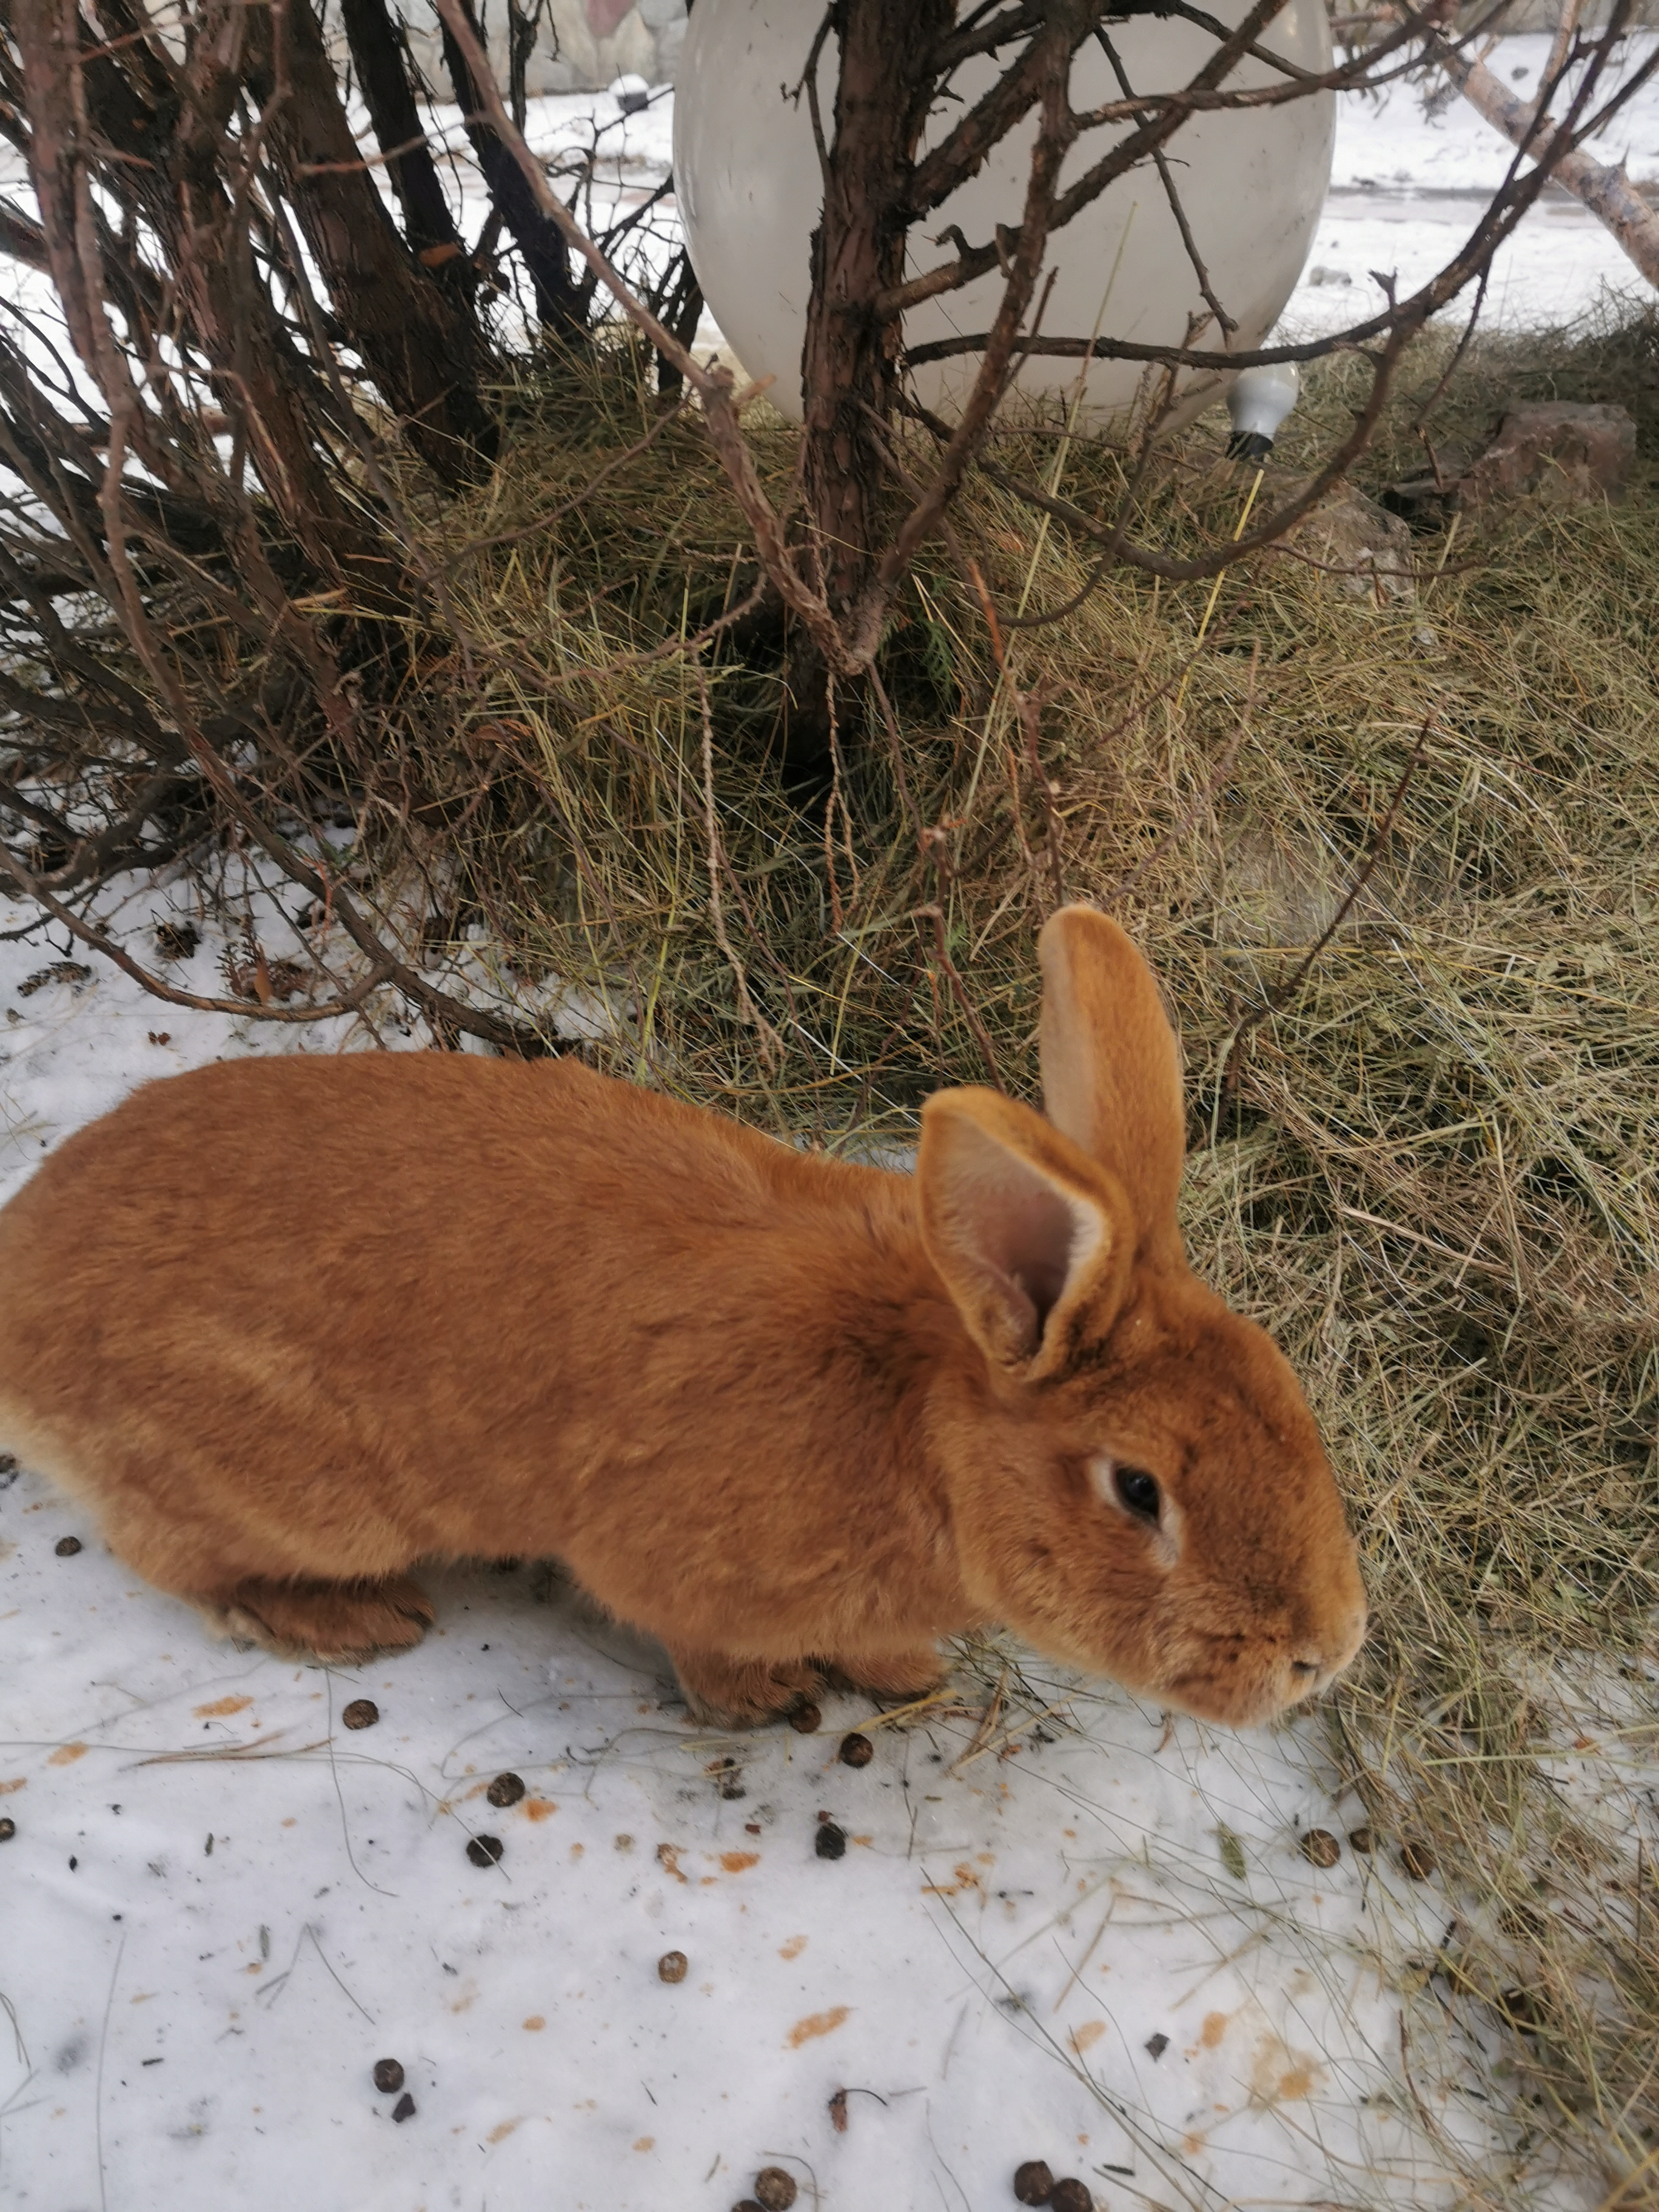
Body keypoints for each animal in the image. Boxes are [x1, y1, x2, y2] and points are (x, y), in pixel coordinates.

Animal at [0, 902, 1362, 1725]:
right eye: (1138, 1490)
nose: (1325, 1653)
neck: (920, 1433)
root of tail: (17, 1292)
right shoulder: (668, 1566)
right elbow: (700, 1644)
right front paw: (763, 1705)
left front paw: (906, 1675)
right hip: (293, 1491)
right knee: (184, 1560)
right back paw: (350, 1619)